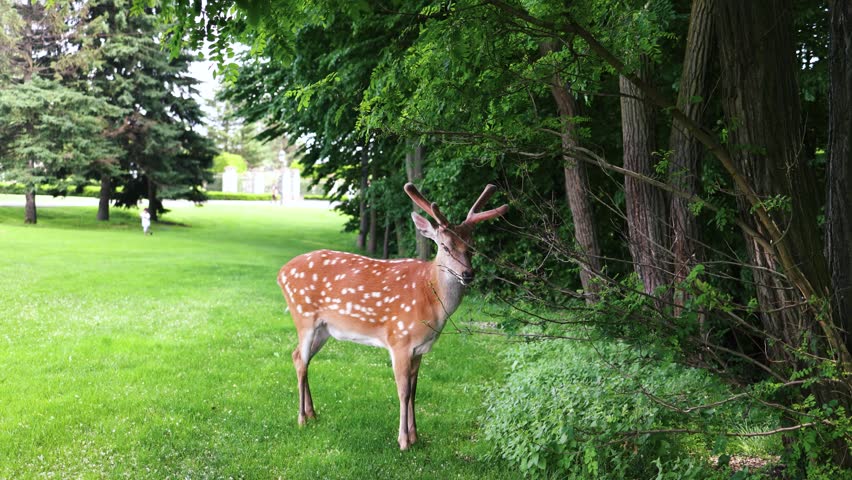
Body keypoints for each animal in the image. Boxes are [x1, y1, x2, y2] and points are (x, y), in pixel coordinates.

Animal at [276, 183, 508, 450]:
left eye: (471, 247)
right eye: (445, 246)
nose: (468, 274)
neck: (431, 300)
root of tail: (281, 273)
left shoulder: (420, 348)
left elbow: (415, 391)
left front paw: (416, 436)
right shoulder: (400, 339)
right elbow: (403, 391)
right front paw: (403, 441)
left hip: (324, 328)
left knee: (299, 357)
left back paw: (313, 414)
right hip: (303, 315)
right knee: (300, 359)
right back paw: (302, 419)